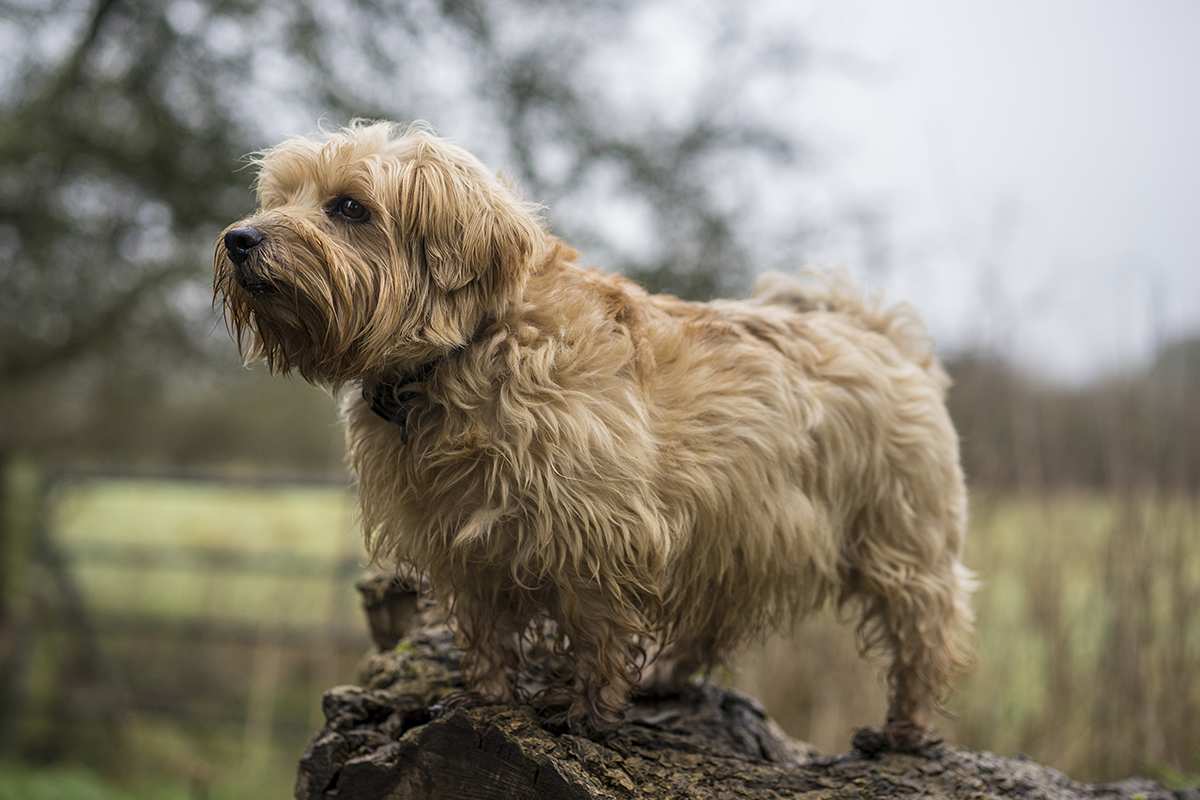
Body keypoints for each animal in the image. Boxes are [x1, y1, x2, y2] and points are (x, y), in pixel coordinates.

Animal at [213, 120, 974, 753]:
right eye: (281, 196)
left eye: (349, 207)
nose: (239, 239)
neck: (466, 349)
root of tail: (876, 330)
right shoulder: (461, 540)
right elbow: (485, 627)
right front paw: (486, 695)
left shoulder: (603, 531)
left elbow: (599, 627)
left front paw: (585, 711)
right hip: (739, 528)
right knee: (715, 617)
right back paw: (668, 674)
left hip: (898, 536)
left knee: (926, 629)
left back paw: (904, 729)